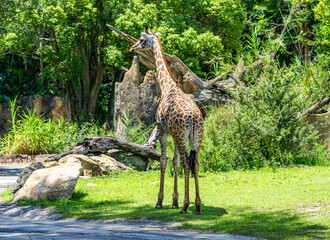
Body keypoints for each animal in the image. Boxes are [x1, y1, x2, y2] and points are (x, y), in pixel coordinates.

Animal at [130, 27, 204, 215]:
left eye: (141, 39)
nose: (132, 47)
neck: (167, 85)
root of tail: (194, 118)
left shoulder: (162, 130)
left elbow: (163, 161)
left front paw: (160, 201)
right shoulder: (172, 134)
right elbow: (174, 163)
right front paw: (174, 201)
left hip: (181, 135)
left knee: (187, 163)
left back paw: (186, 206)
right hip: (195, 137)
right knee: (195, 163)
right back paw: (197, 205)